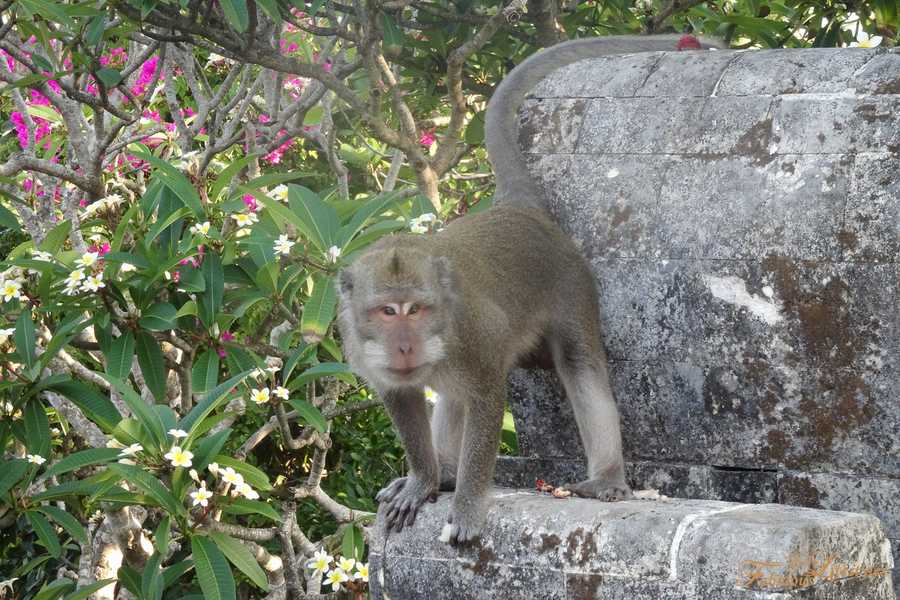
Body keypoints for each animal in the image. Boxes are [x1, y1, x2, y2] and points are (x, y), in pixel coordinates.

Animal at [334, 31, 720, 544]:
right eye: (385, 311)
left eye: (415, 309)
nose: (404, 347)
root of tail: (517, 209)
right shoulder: (362, 348)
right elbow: (403, 399)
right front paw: (422, 480)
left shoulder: (473, 338)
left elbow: (486, 400)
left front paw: (468, 505)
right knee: (451, 396)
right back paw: (446, 472)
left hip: (573, 285)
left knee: (580, 365)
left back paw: (605, 477)